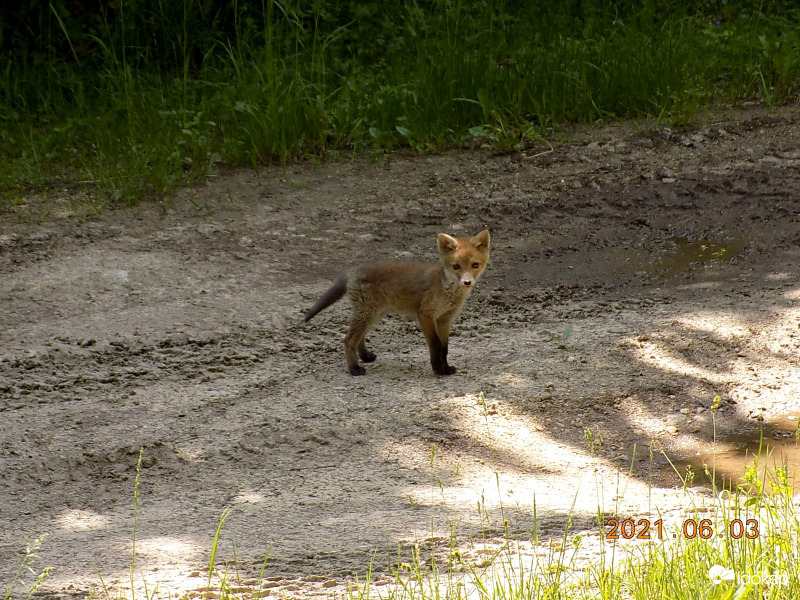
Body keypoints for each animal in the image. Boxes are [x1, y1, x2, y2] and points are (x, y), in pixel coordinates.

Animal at [304, 230, 488, 376]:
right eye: (456, 266)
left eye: (475, 265)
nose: (467, 282)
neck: (446, 290)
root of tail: (353, 270)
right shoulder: (425, 315)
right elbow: (436, 344)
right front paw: (438, 369)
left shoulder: (445, 319)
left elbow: (445, 347)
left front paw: (446, 367)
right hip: (368, 314)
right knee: (348, 340)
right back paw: (354, 369)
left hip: (373, 314)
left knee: (359, 338)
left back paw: (365, 357)